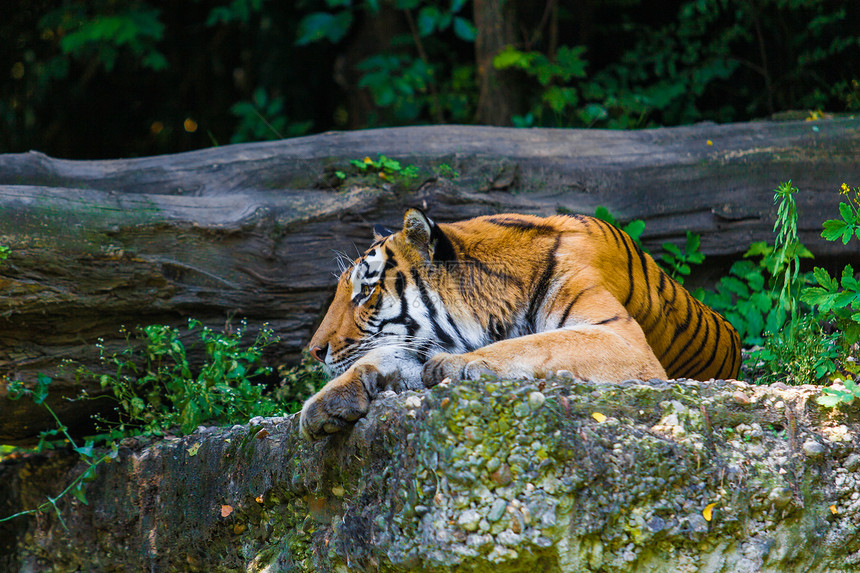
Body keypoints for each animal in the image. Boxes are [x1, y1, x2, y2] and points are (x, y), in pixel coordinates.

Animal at [298, 209, 744, 438]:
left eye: (365, 292)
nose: (314, 351)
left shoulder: (621, 337)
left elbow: (538, 343)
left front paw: (456, 365)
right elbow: (381, 357)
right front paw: (325, 403)